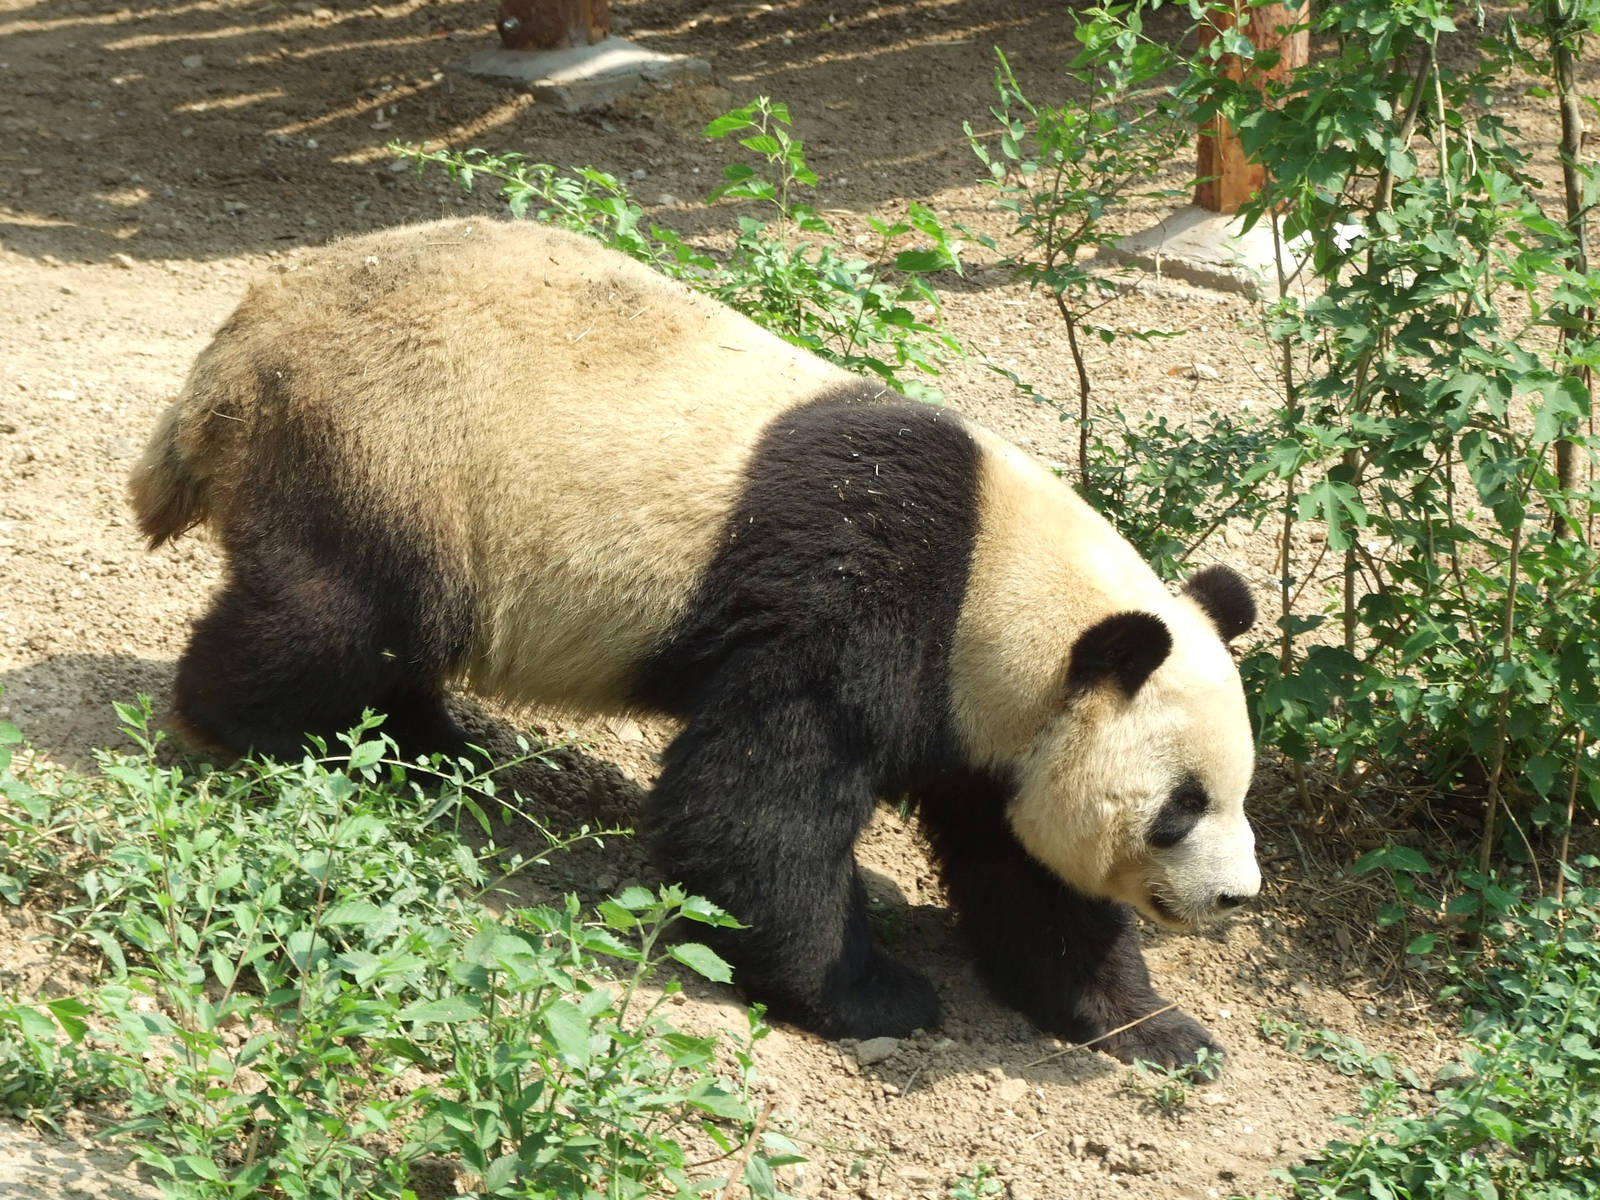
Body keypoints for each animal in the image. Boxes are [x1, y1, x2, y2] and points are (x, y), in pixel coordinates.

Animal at [130, 217, 1262, 1067]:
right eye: (1181, 806)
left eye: (1235, 796)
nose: (1234, 897)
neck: (1004, 579)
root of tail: (238, 343)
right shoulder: (859, 600)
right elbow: (755, 808)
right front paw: (874, 994)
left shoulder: (987, 724)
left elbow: (1026, 872)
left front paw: (1157, 1028)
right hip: (390, 445)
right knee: (338, 617)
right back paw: (258, 730)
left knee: (393, 642)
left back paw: (428, 747)